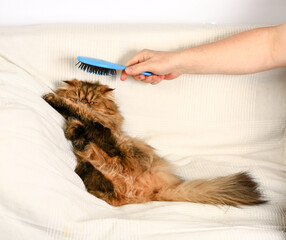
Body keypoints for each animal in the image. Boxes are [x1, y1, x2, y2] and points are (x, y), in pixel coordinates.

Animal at [42, 79, 266, 206]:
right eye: (77, 97)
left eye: (93, 102)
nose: (84, 103)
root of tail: (155, 192)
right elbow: (74, 124)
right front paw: (75, 131)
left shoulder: (103, 119)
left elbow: (83, 115)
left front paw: (55, 100)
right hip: (96, 171)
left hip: (129, 147)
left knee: (111, 144)